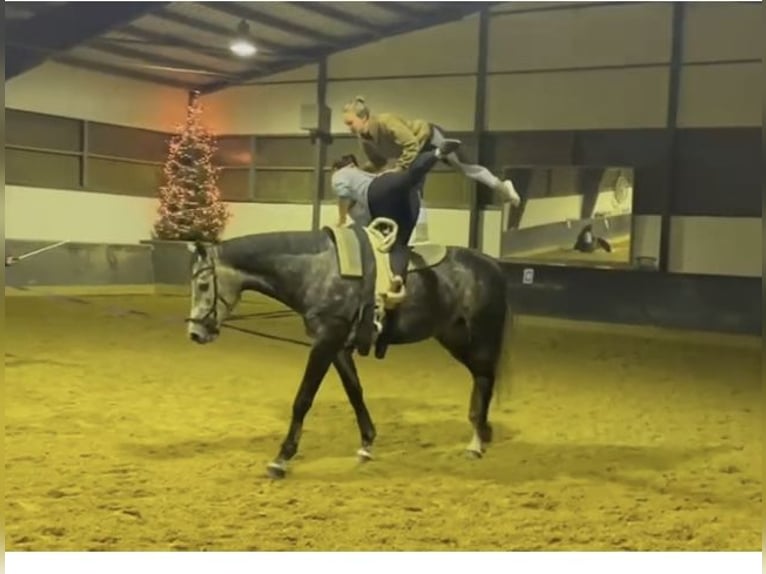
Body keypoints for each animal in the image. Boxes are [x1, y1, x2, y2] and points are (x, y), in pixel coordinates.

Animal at [184, 222, 514, 479]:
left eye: (203, 285)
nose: (195, 333)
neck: (318, 271)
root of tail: (492, 264)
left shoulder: (325, 342)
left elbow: (303, 399)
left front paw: (281, 459)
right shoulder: (338, 346)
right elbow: (355, 391)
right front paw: (367, 445)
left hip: (480, 338)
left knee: (485, 379)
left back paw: (476, 443)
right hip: (454, 337)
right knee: (481, 378)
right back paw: (481, 434)